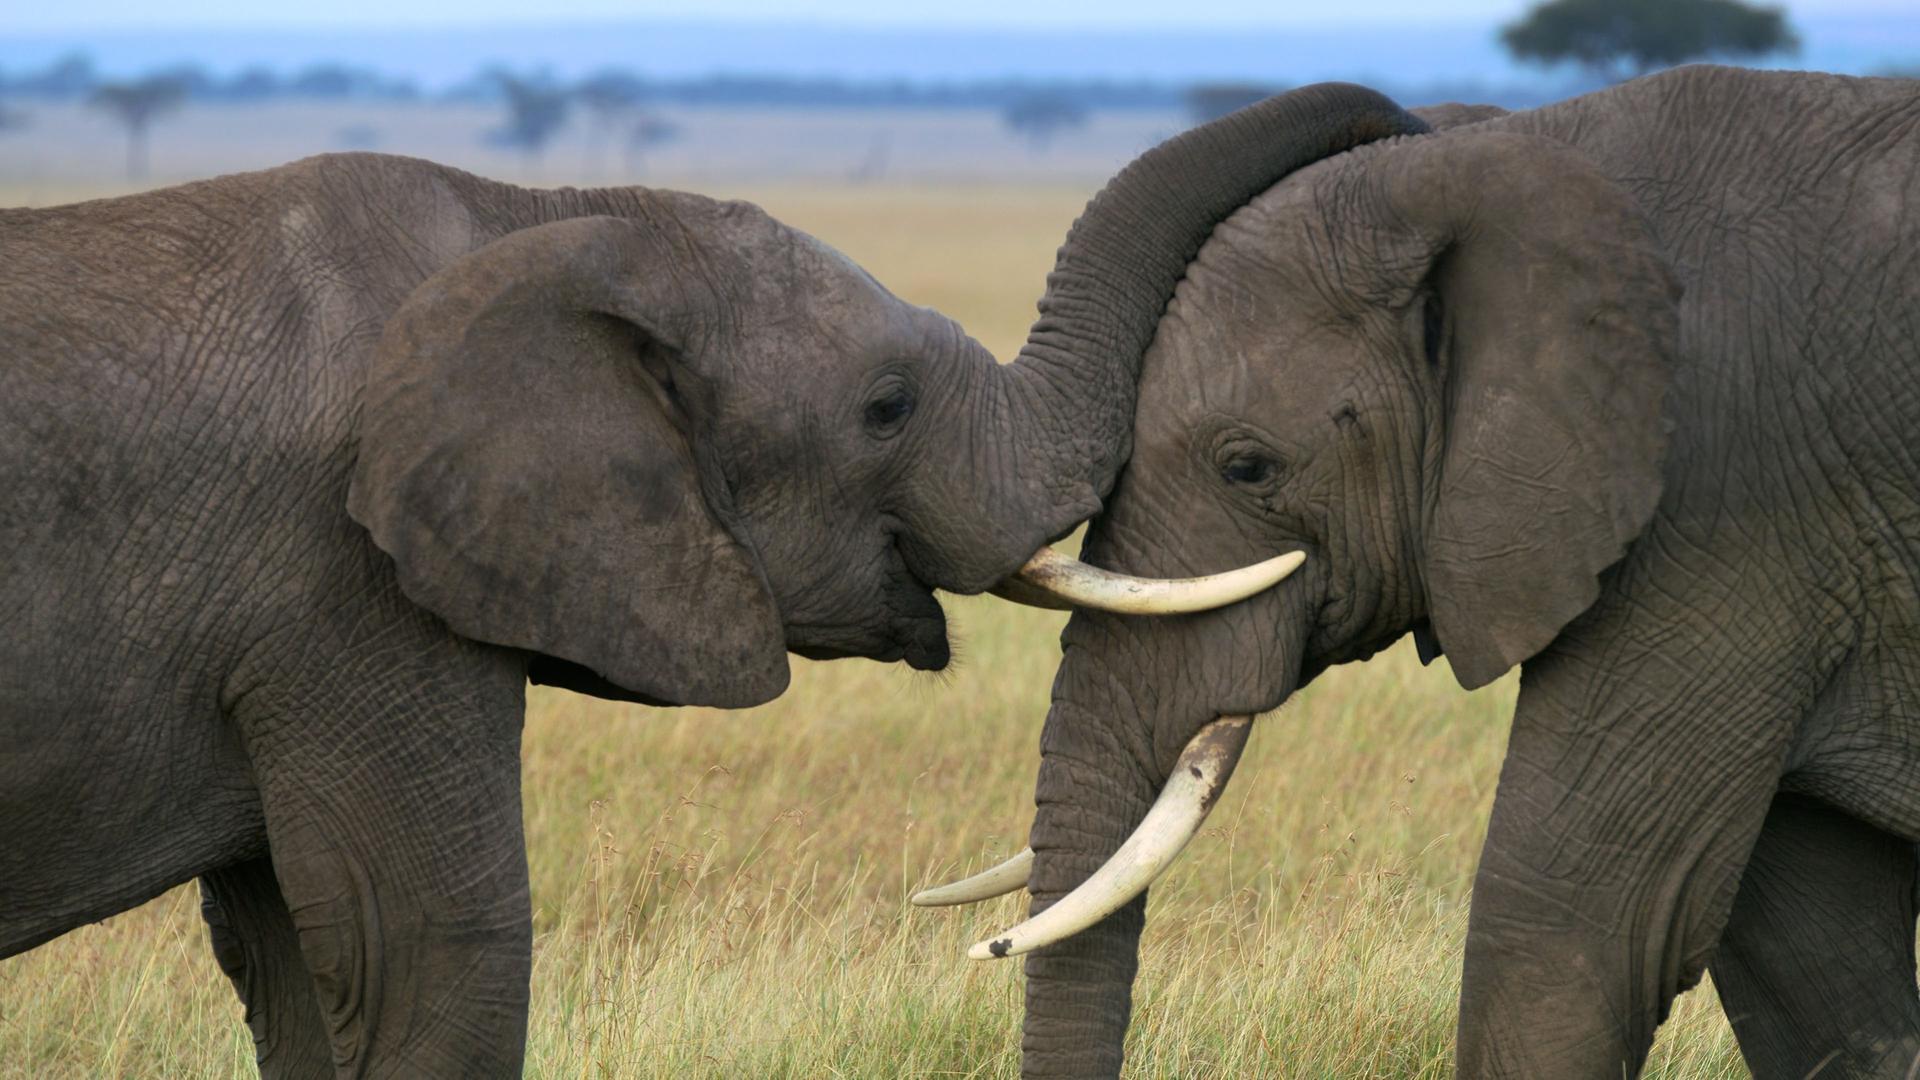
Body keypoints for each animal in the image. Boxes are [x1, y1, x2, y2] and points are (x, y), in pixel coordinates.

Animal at [915, 68, 1920, 1077]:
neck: (1543, 156)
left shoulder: (1729, 498)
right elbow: (1809, 958)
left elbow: (1576, 922)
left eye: (1249, 468)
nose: (1399, 115)